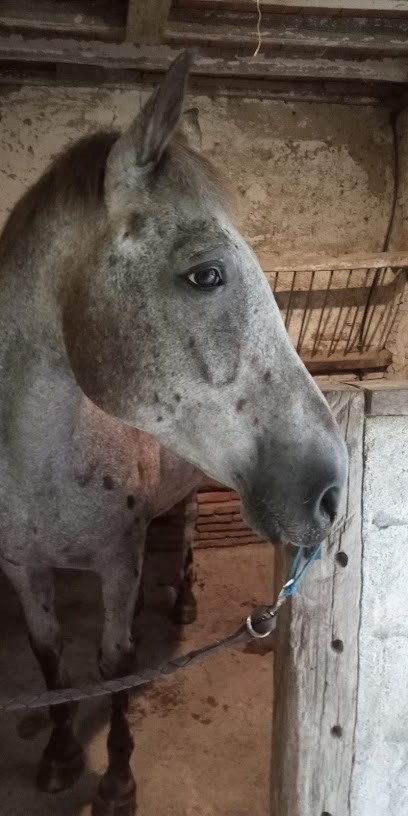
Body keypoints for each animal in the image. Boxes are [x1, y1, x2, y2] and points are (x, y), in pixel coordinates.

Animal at [0, 52, 347, 816]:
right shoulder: (21, 567)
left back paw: (183, 596)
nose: (333, 492)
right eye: (205, 274)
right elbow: (50, 659)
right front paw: (60, 753)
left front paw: (117, 780)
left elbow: (115, 667)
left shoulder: (117, 561)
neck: (35, 467)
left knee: (184, 528)